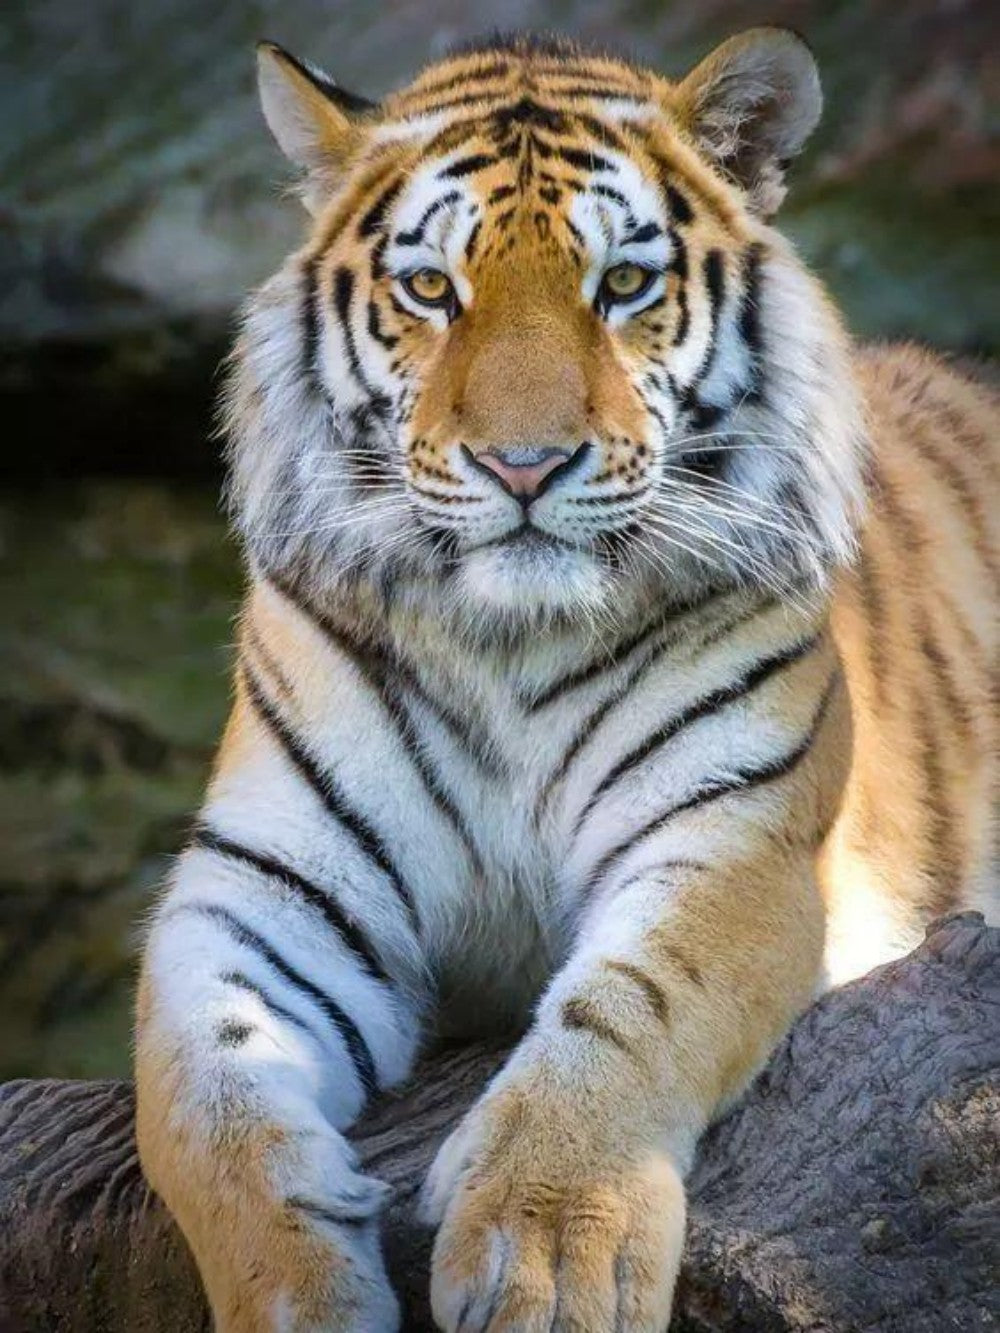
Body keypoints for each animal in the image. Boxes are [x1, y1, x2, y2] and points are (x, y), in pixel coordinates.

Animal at [134, 26, 999, 1333]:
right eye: (430, 290)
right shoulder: (266, 886)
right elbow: (199, 1103)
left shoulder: (730, 838)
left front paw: (545, 1255)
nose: (525, 465)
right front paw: (299, 1291)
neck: (509, 641)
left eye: (624, 285)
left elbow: (630, 1009)